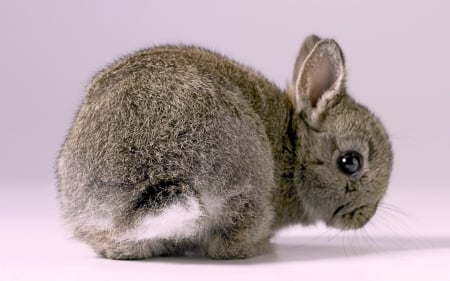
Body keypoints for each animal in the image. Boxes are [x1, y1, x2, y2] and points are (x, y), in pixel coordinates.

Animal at [56, 35, 392, 260]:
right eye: (350, 162)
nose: (366, 216)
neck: (293, 148)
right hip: (244, 180)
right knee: (227, 245)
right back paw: (261, 247)